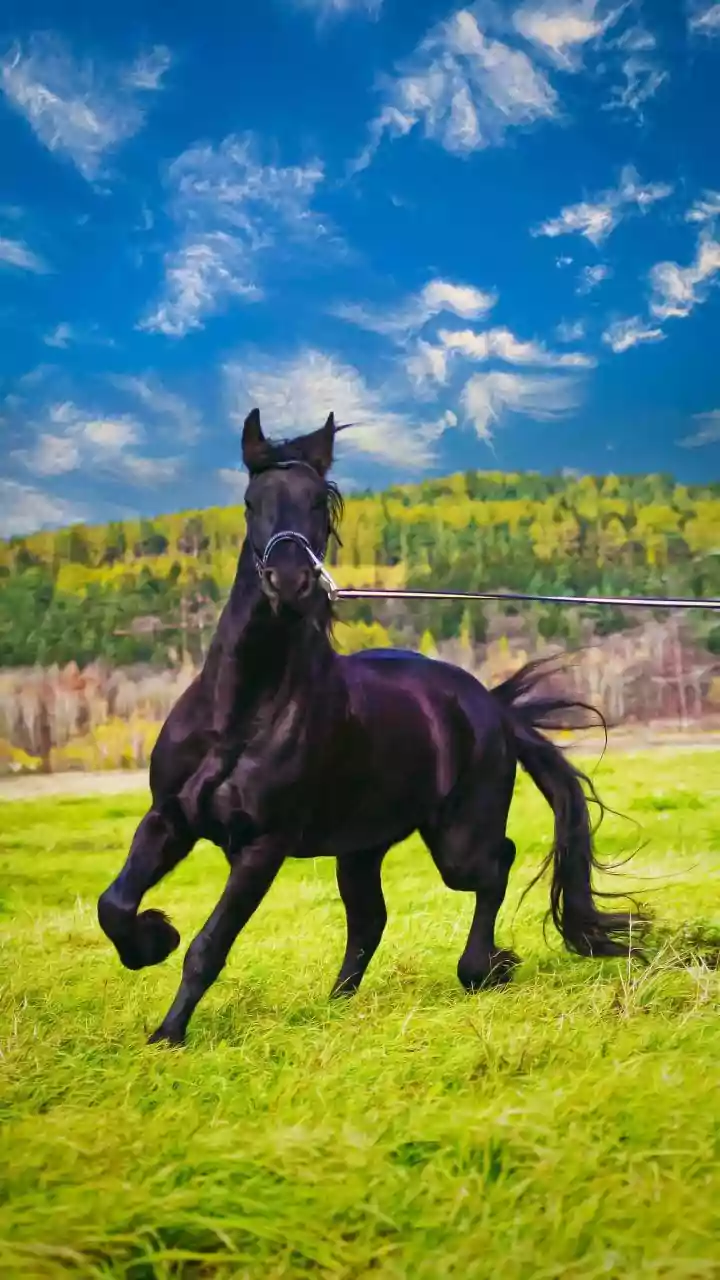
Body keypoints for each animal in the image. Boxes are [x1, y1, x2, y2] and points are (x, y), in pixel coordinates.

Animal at [97, 408, 645, 1046]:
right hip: (359, 846)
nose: (290, 580)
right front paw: (153, 939)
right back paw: (338, 1003)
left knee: (494, 865)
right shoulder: (170, 817)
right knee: (370, 920)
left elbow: (209, 946)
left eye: (317, 501)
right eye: (252, 502)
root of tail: (492, 706)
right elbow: (115, 905)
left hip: (455, 840)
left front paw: (167, 1034)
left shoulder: (263, 846)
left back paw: (484, 968)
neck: (239, 716)